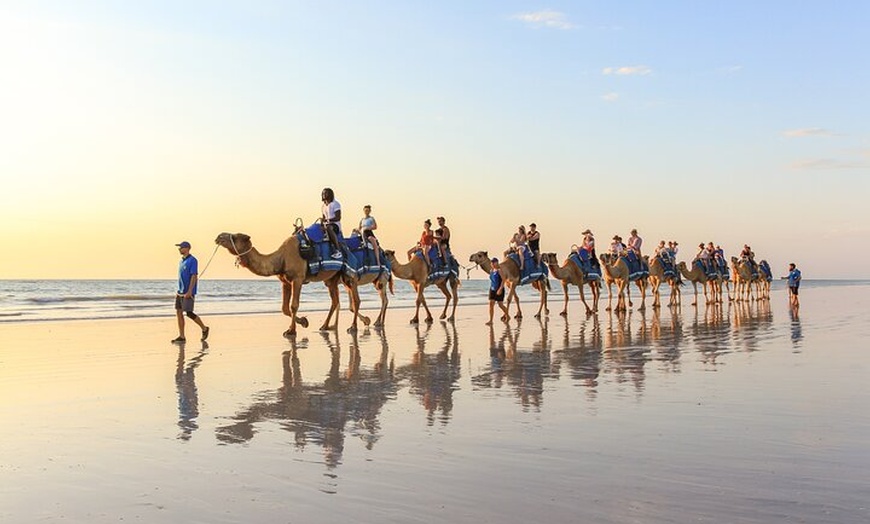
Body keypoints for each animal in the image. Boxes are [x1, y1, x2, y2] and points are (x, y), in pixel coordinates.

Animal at [220, 232, 366, 338]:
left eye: (234, 237)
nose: (219, 237)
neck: (282, 258)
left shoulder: (297, 278)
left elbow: (293, 305)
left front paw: (291, 331)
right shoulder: (285, 281)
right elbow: (284, 308)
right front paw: (303, 322)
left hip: (349, 275)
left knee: (356, 299)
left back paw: (354, 327)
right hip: (332, 278)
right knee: (335, 300)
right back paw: (325, 326)